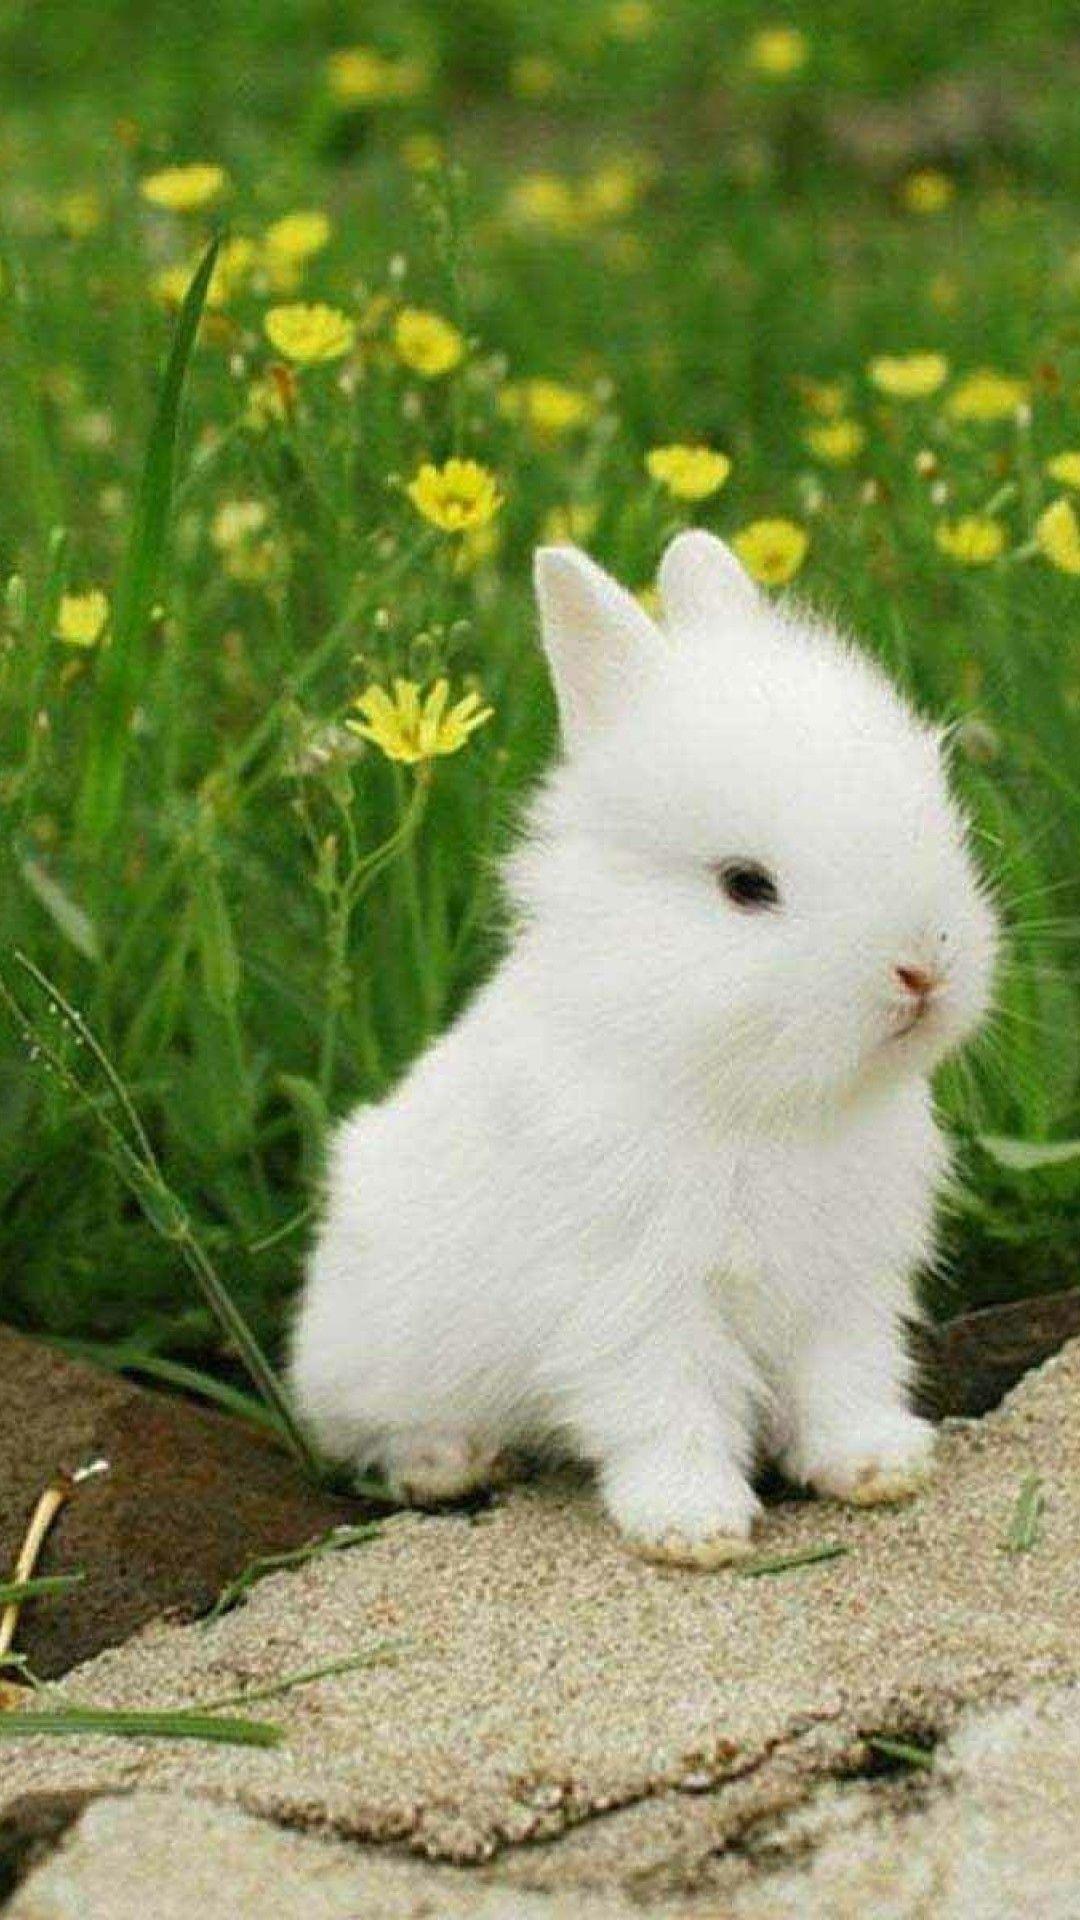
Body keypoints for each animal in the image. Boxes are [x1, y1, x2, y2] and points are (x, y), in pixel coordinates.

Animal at [290, 530, 999, 1566]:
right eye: (746, 886)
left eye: (940, 822)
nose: (922, 970)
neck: (756, 1098)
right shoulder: (635, 1302)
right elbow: (669, 1412)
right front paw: (691, 1528)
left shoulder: (844, 1287)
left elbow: (845, 1381)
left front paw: (876, 1468)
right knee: (368, 1432)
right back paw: (446, 1463)